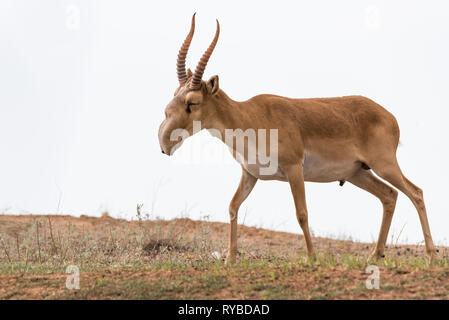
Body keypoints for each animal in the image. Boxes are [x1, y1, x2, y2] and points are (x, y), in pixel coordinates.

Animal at [156, 14, 436, 262]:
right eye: (174, 94)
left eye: (193, 102)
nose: (164, 144)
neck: (250, 117)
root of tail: (390, 117)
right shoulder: (250, 174)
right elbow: (233, 207)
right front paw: (229, 260)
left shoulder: (293, 169)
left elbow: (302, 213)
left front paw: (312, 258)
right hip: (358, 173)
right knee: (389, 195)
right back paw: (374, 256)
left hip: (384, 165)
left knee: (416, 192)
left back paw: (431, 255)